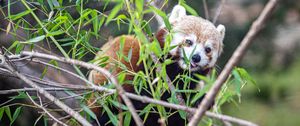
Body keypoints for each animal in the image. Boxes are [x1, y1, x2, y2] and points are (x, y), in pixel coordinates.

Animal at [88, 5, 224, 126]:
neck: (177, 70)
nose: (196, 57)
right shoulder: (146, 70)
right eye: (188, 42)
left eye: (208, 49)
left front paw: (199, 100)